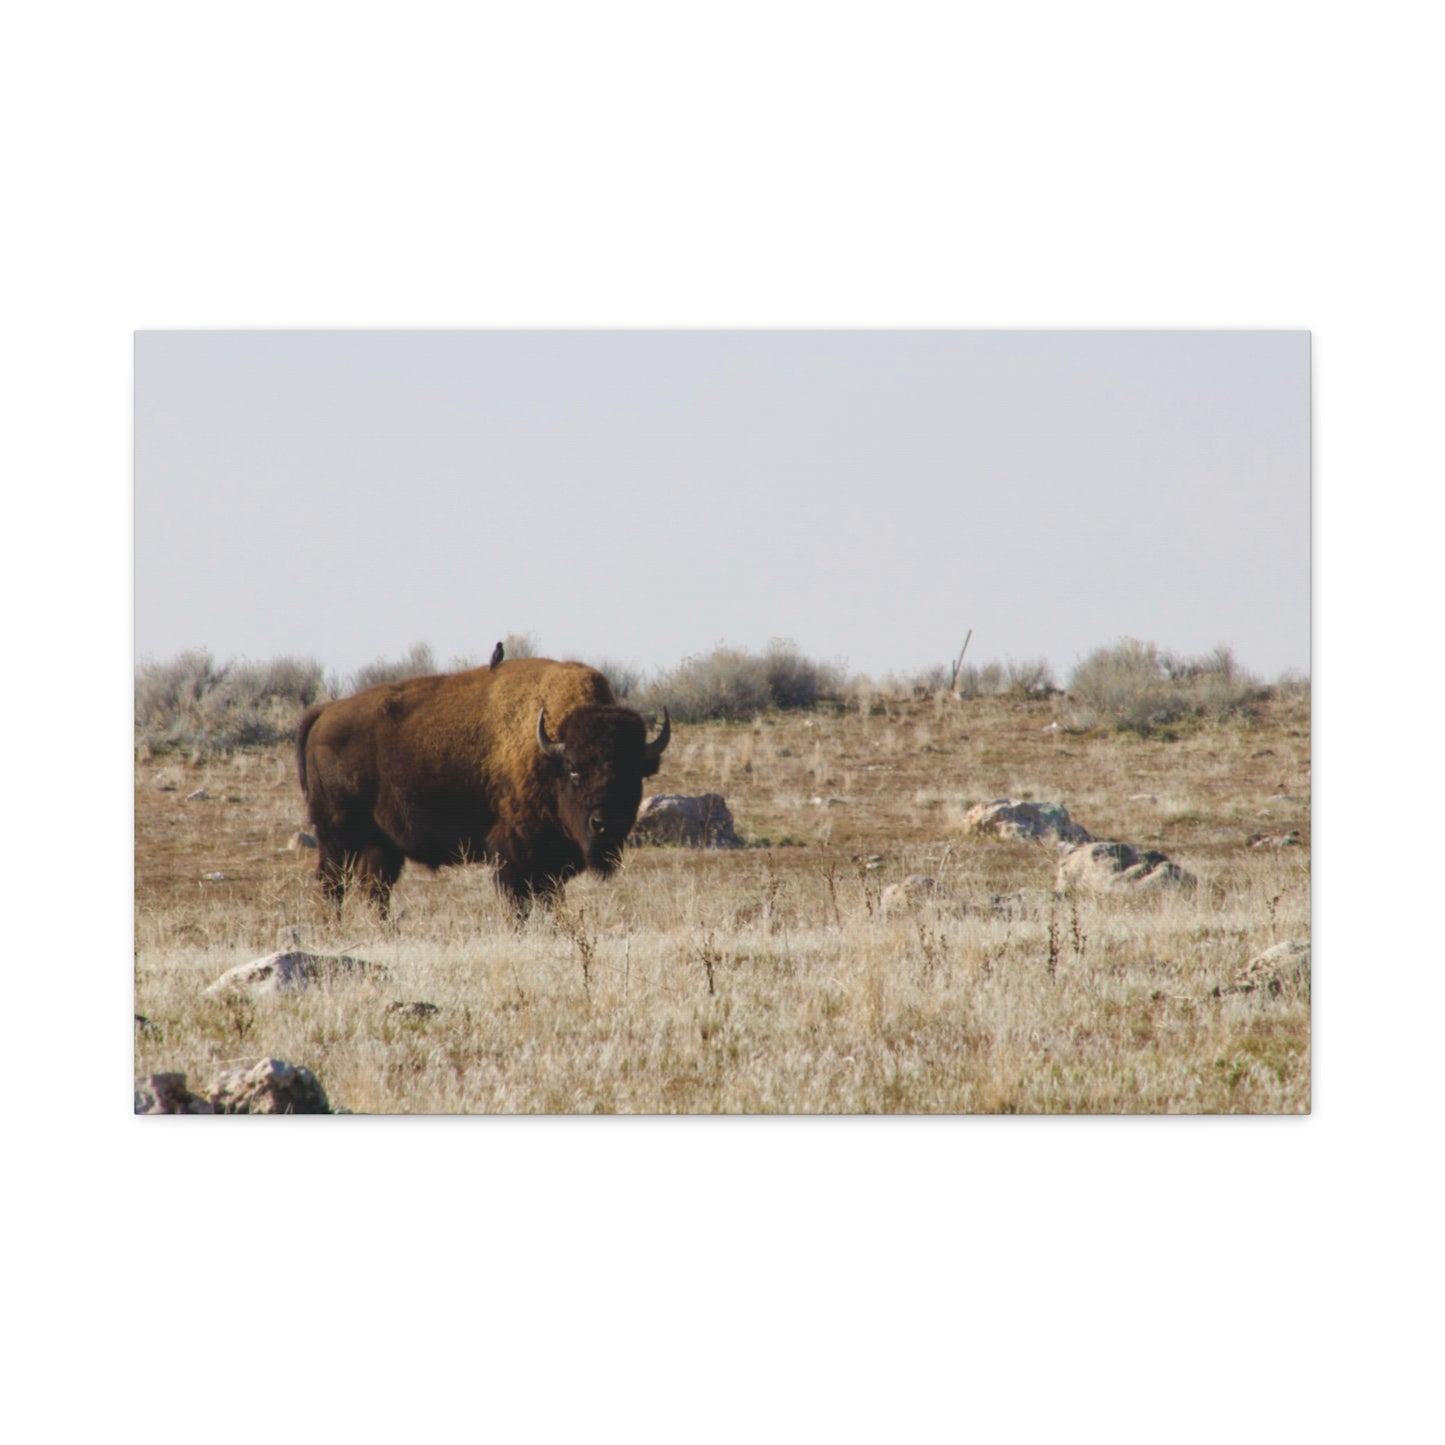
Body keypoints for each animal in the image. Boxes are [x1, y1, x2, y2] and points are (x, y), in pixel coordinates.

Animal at [296, 658, 669, 914]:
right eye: (575, 771)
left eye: (633, 774)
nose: (605, 824)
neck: (548, 754)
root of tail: (326, 711)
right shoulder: (513, 854)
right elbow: (518, 904)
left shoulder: (551, 864)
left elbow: (549, 900)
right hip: (337, 835)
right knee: (333, 885)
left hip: (381, 843)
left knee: (374, 890)